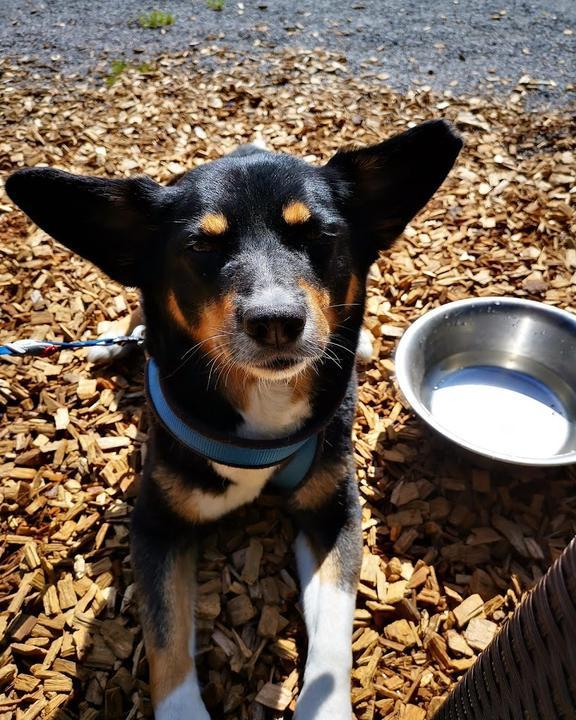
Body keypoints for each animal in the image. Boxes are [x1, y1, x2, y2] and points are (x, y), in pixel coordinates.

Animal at [5, 121, 464, 716]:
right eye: (201, 245)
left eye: (318, 234)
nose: (277, 322)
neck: (261, 402)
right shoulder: (156, 524)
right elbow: (165, 638)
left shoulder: (335, 512)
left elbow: (335, 632)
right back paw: (114, 341)